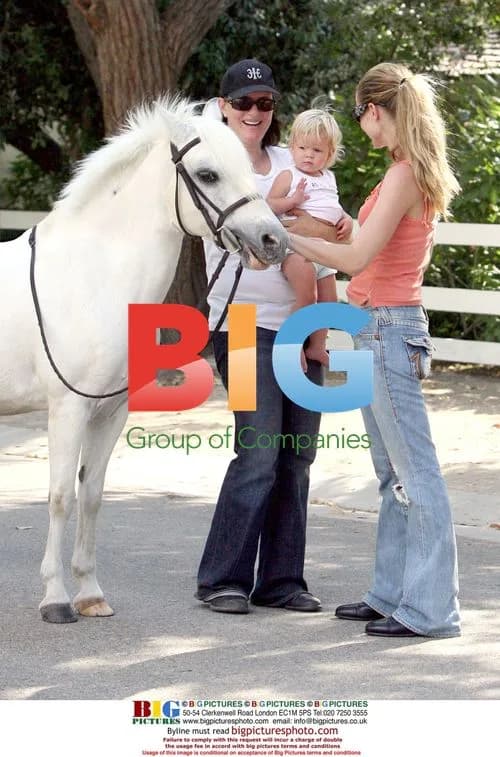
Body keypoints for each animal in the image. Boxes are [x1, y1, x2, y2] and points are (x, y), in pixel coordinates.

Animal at [0, 96, 288, 623]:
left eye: (248, 168)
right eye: (209, 174)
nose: (274, 241)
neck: (93, 277)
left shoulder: (111, 411)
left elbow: (92, 495)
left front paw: (90, 593)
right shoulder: (68, 409)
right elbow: (59, 496)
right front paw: (56, 599)